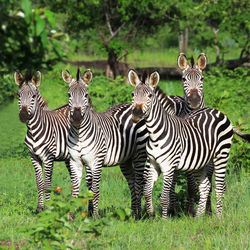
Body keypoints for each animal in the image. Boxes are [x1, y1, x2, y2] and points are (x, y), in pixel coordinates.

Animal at [14, 71, 70, 213]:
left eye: (33, 96)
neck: (34, 131)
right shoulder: (34, 157)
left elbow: (47, 184)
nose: (23, 116)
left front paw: (48, 208)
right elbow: (39, 184)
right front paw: (39, 208)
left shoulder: (48, 158)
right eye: (18, 95)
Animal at [61, 69, 147, 219]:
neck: (79, 134)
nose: (76, 118)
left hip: (140, 155)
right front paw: (71, 217)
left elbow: (95, 189)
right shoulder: (75, 161)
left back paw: (139, 215)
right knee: (132, 182)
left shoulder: (96, 161)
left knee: (139, 183)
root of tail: (134, 105)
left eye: (86, 95)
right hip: (125, 159)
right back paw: (132, 214)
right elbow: (75, 190)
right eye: (69, 94)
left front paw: (95, 216)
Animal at [129, 70, 234, 219]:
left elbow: (164, 197)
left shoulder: (168, 167)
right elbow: (148, 192)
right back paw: (198, 217)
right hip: (200, 162)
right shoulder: (154, 164)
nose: (136, 115)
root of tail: (216, 111)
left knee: (219, 187)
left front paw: (164, 220)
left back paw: (218, 218)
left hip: (221, 156)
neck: (155, 134)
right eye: (133, 94)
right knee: (205, 187)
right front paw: (152, 214)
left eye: (149, 95)